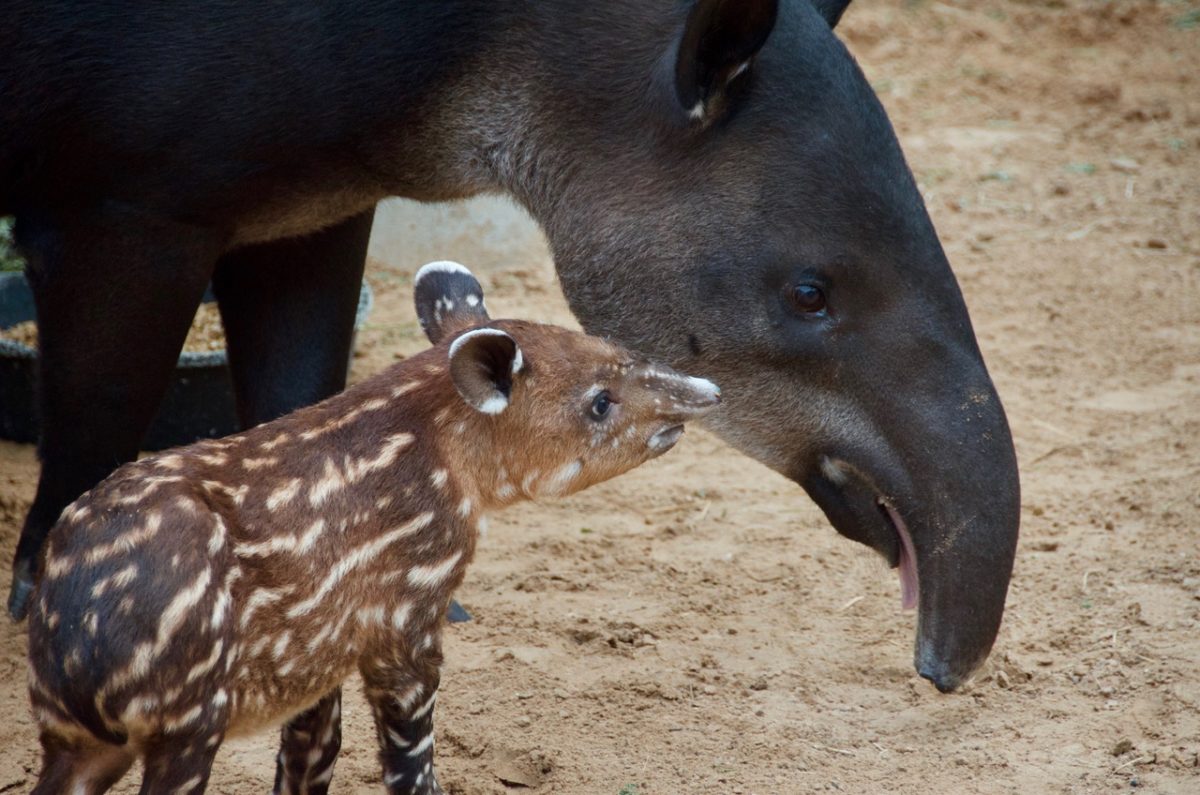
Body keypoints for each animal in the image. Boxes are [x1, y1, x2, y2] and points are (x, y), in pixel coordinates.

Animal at [28, 262, 720, 795]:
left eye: (615, 349)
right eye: (599, 402)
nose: (706, 391)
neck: (441, 440)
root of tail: (75, 653)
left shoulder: (313, 652)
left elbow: (311, 756)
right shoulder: (405, 617)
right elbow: (410, 760)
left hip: (76, 734)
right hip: (187, 717)